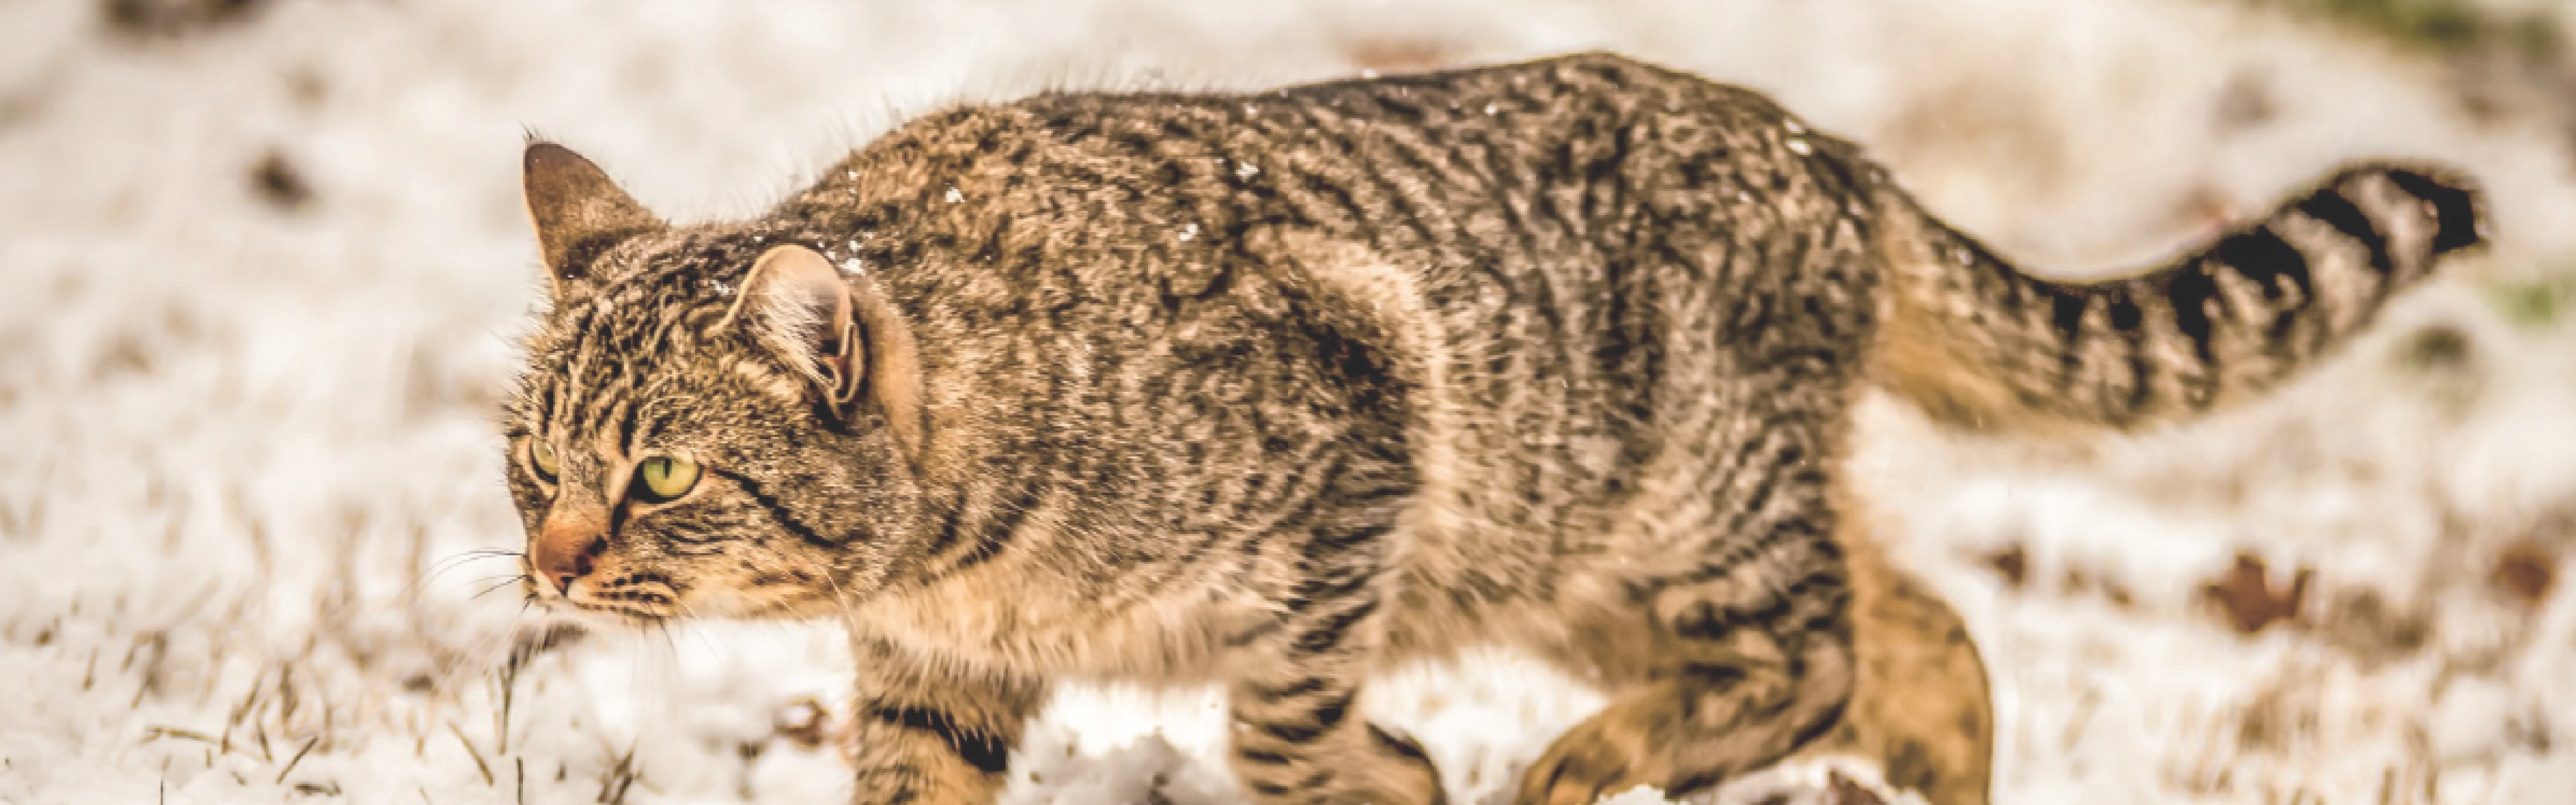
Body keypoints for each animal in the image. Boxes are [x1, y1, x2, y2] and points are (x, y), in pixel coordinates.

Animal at [492, 51, 2483, 802]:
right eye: (534, 463)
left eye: (661, 471)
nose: (552, 560)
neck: (967, 557)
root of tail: (1830, 157)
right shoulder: (931, 674)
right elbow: (916, 781)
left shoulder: (1358, 456)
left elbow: (1282, 727)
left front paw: (1387, 774)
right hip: (1591, 562)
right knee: (1925, 628)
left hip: (1675, 516)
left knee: (1823, 647)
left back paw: (1593, 758)